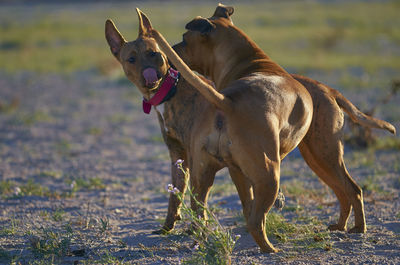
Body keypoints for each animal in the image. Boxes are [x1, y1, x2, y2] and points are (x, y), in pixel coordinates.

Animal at [145, 4, 396, 252]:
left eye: (184, 38)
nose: (166, 56)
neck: (251, 61)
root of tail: (227, 102)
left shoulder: (238, 173)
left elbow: (249, 205)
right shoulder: (240, 173)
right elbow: (251, 208)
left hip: (314, 158)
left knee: (344, 190)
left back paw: (346, 227)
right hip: (300, 164)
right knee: (342, 192)